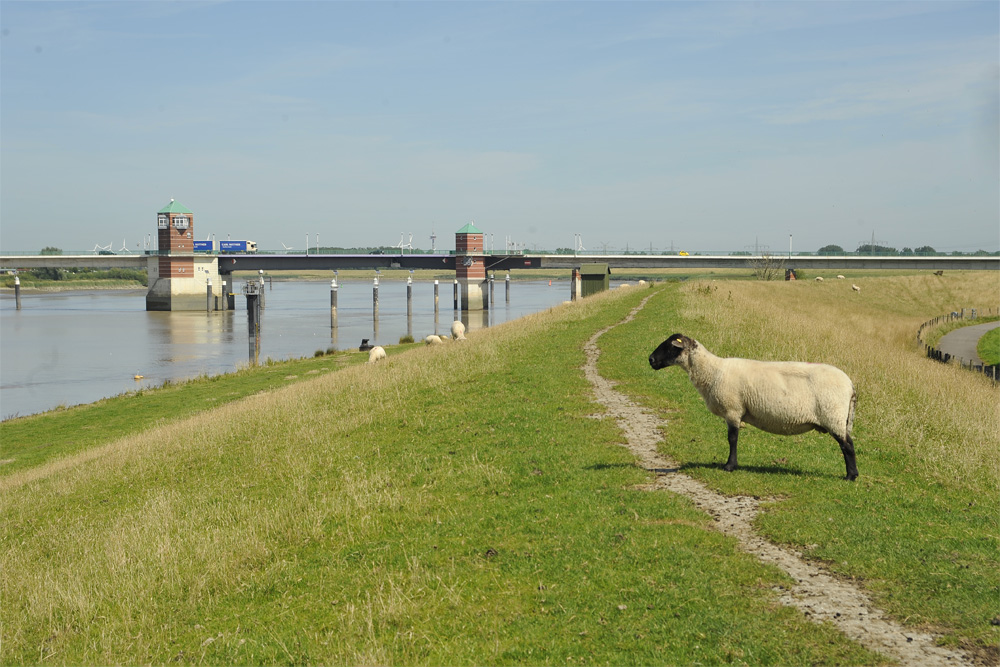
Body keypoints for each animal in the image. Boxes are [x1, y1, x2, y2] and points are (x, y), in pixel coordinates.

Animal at [648, 334, 860, 480]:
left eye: (670, 346)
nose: (650, 360)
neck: (712, 371)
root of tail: (850, 384)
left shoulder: (733, 410)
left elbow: (732, 439)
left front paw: (730, 466)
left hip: (833, 416)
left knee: (847, 446)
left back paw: (851, 476)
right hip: (838, 418)